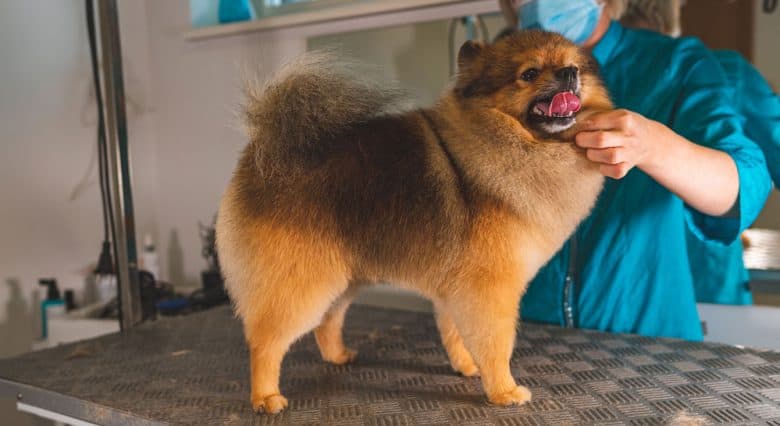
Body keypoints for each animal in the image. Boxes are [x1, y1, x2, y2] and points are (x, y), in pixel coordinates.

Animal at [216, 30, 612, 416]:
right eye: (529, 73)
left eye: (575, 67)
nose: (569, 74)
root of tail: (264, 144)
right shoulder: (489, 289)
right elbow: (496, 343)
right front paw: (503, 390)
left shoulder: (458, 288)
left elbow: (455, 334)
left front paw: (467, 367)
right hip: (301, 281)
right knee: (265, 342)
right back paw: (266, 397)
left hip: (340, 277)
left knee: (328, 322)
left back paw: (339, 356)